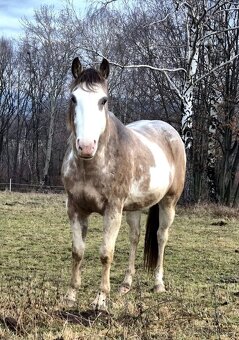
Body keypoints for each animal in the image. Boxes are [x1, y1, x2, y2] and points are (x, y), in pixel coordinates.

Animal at [61, 57, 187, 310]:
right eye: (73, 98)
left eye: (103, 100)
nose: (86, 146)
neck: (91, 166)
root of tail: (170, 132)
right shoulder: (75, 209)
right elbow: (77, 252)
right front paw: (70, 296)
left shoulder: (113, 210)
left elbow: (106, 253)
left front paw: (101, 300)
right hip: (133, 208)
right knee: (134, 238)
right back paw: (126, 285)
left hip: (169, 202)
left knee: (161, 236)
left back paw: (158, 283)